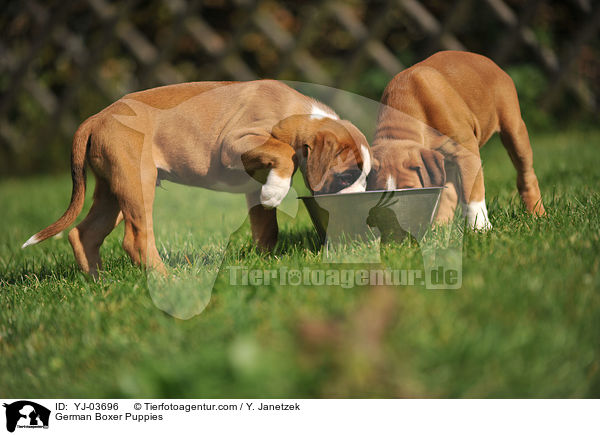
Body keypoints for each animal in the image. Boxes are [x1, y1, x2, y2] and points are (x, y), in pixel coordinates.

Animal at [22, 80, 370, 278]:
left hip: (112, 190)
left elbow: (266, 227)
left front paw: (260, 260)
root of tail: (97, 117)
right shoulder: (235, 143)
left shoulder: (253, 179)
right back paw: (166, 281)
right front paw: (276, 192)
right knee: (136, 239)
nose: (360, 198)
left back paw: (97, 282)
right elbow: (284, 151)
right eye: (346, 176)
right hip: (136, 183)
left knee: (84, 233)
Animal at [368, 51, 548, 230]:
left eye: (410, 191)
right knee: (449, 193)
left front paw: (480, 227)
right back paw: (439, 228)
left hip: (514, 130)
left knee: (526, 174)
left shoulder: (467, 152)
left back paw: (537, 213)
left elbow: (472, 193)